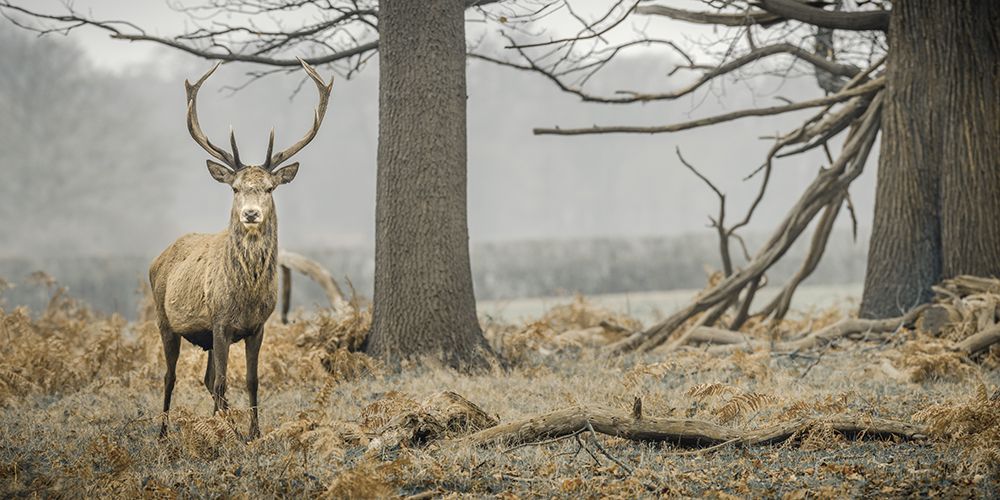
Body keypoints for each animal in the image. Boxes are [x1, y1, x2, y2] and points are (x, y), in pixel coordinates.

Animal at [150, 59, 332, 440]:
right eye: (235, 188)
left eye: (269, 188)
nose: (250, 213)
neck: (245, 296)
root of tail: (158, 259)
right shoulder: (220, 321)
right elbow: (223, 381)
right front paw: (224, 434)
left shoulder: (257, 326)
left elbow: (251, 380)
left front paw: (252, 433)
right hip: (164, 318)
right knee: (171, 376)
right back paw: (162, 433)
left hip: (204, 335)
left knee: (206, 379)